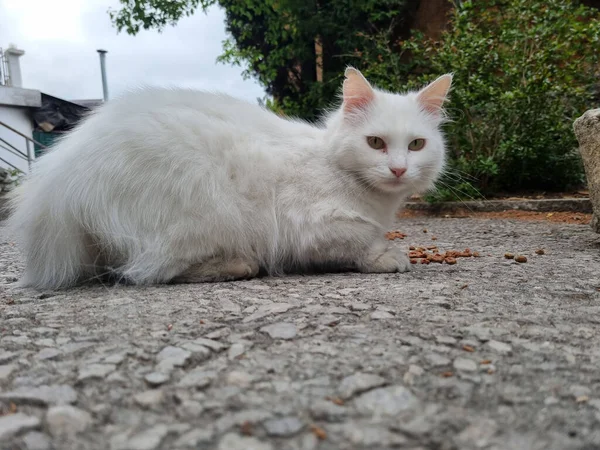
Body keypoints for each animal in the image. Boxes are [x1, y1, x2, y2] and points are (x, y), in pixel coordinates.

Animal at [7, 68, 452, 290]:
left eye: (416, 145)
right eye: (375, 142)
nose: (398, 169)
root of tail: (59, 178)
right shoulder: (310, 225)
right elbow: (361, 240)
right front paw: (388, 257)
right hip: (202, 210)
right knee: (147, 272)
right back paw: (238, 265)